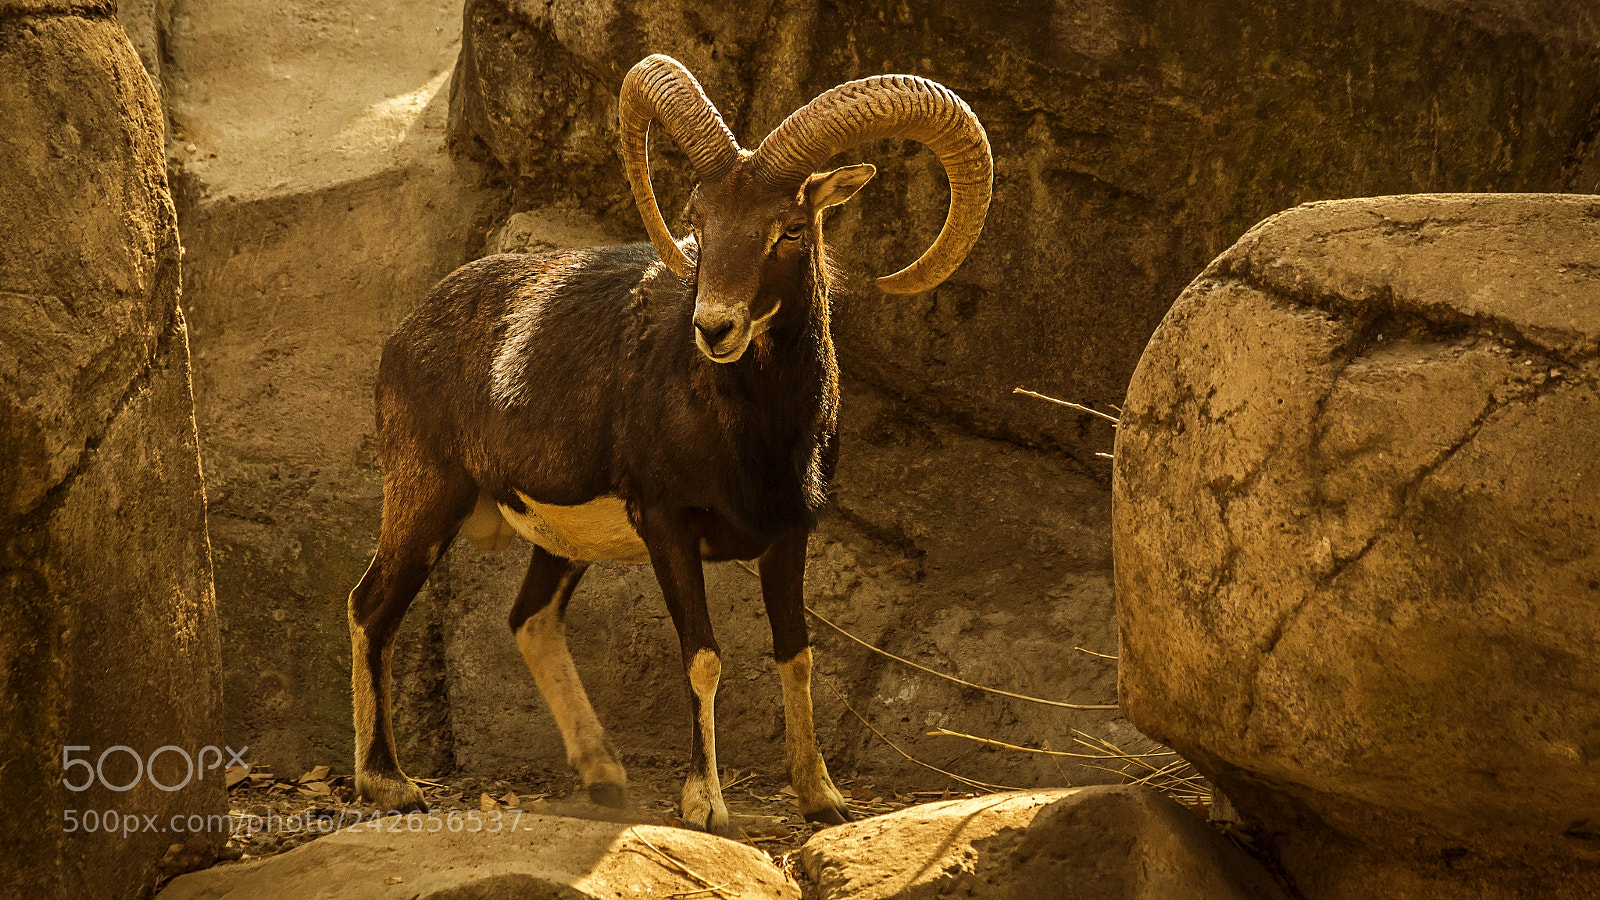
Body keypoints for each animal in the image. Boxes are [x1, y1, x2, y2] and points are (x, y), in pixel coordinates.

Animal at [347, 54, 991, 833]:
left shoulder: (788, 534)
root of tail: (406, 333)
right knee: (372, 606)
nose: (715, 328)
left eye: (788, 228)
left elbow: (796, 654)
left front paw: (824, 799)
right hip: (426, 498)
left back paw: (605, 779)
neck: (754, 436)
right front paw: (705, 806)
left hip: (558, 544)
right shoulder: (669, 528)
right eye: (699, 224)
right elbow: (704, 656)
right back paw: (388, 783)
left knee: (529, 620)